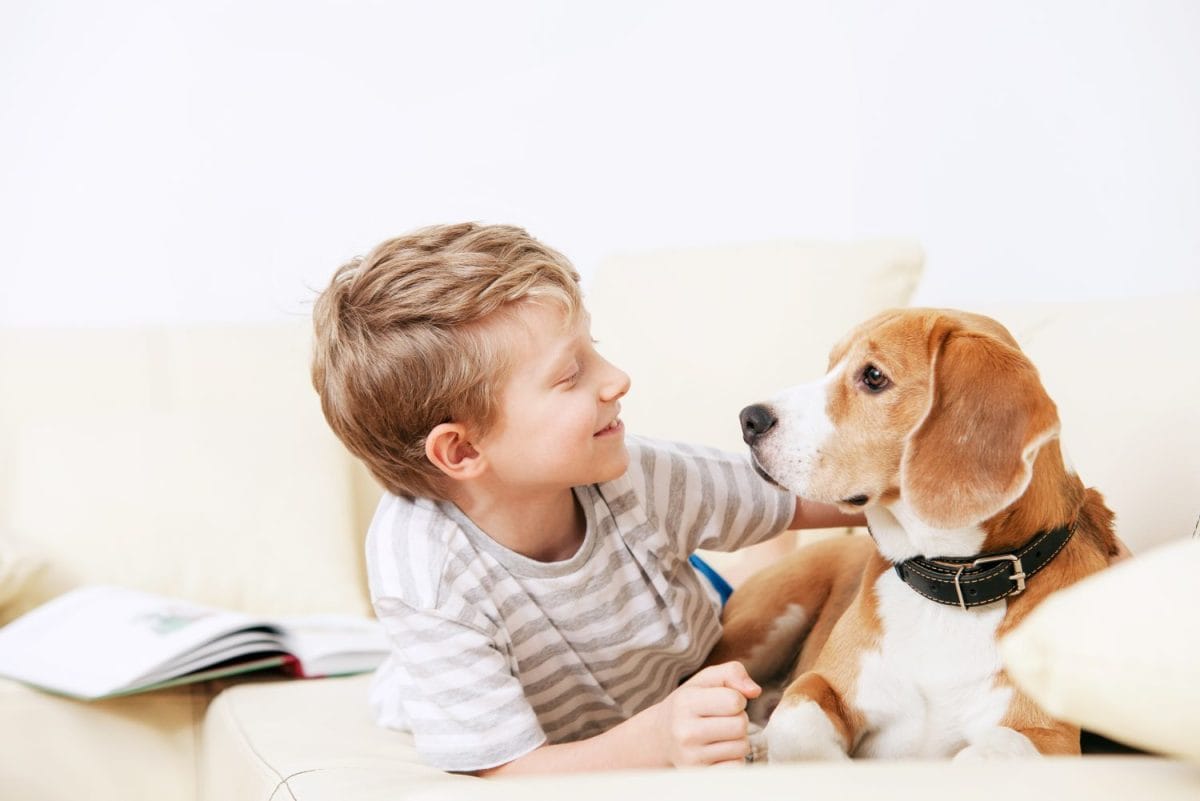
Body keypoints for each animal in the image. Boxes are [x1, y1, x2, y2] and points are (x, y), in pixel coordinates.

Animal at [705, 309, 1118, 762]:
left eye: (873, 376)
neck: (950, 583)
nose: (749, 419)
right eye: (830, 365)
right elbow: (795, 722)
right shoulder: (822, 683)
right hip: (766, 621)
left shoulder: (1050, 737)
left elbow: (988, 750)